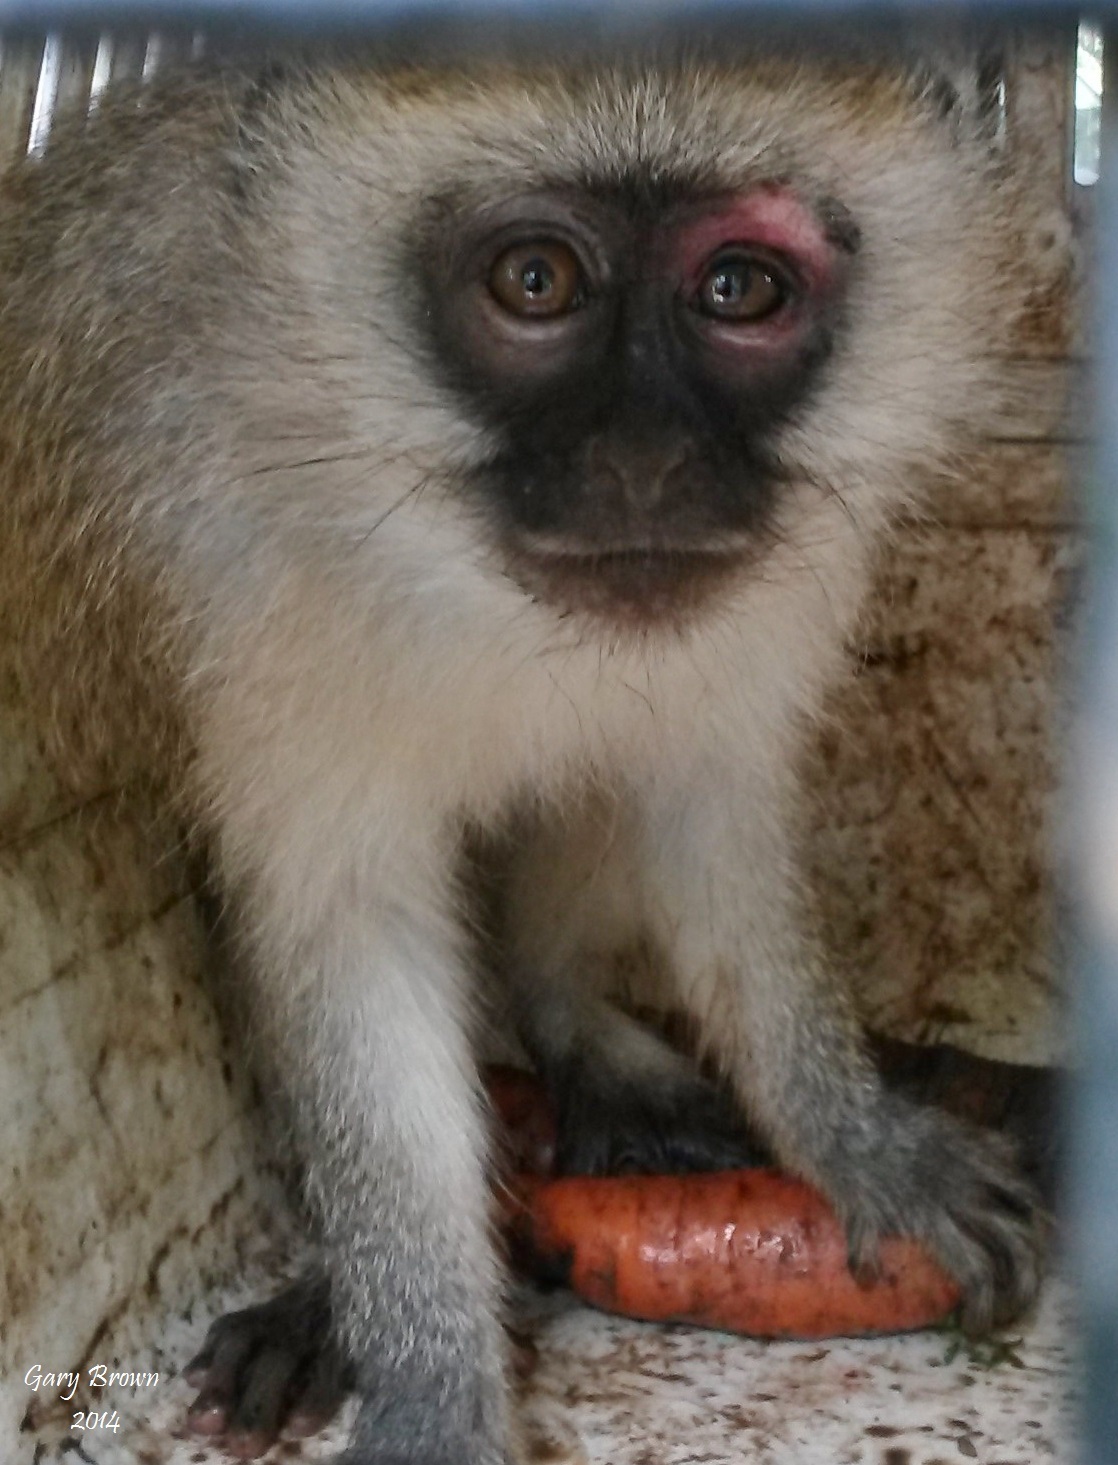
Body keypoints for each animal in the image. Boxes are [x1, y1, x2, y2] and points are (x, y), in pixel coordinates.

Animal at [0, 45, 1043, 1465]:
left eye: (739, 289)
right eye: (534, 281)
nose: (644, 463)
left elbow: (707, 812)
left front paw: (850, 1130)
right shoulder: (223, 561)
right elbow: (350, 942)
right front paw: (430, 1380)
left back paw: (581, 1037)